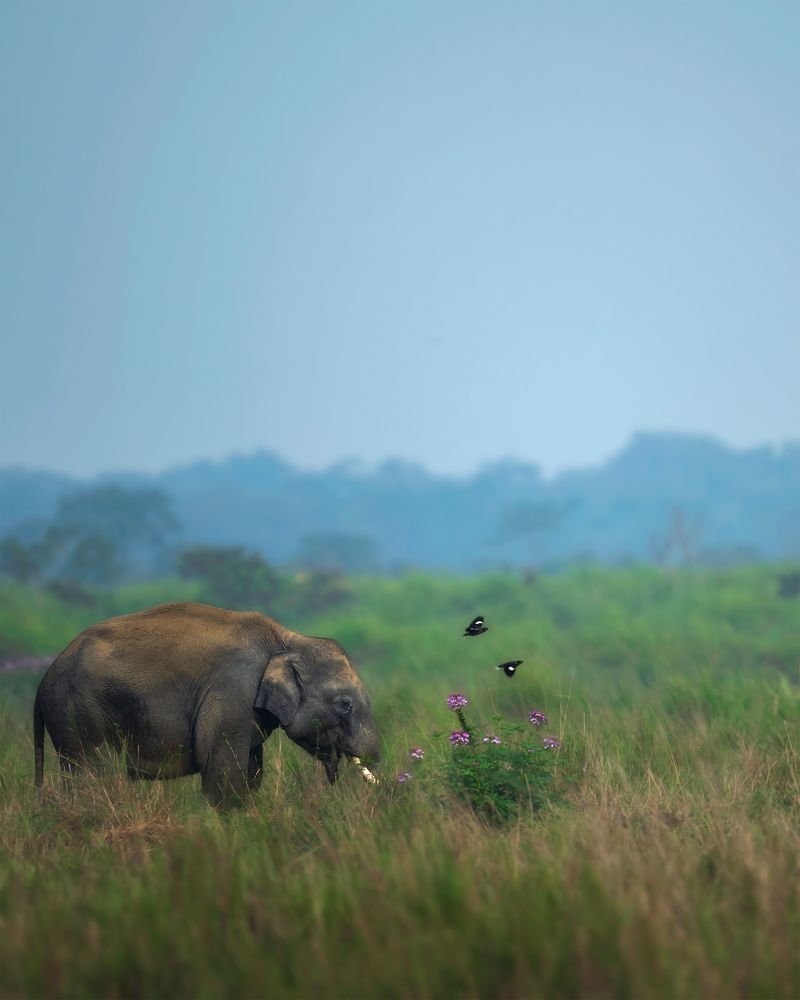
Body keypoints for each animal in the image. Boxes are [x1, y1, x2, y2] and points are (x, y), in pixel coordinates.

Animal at [33, 601, 380, 807]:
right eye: (345, 704)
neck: (289, 639)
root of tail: (44, 680)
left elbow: (251, 772)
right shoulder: (232, 693)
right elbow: (221, 771)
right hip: (81, 714)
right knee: (95, 772)